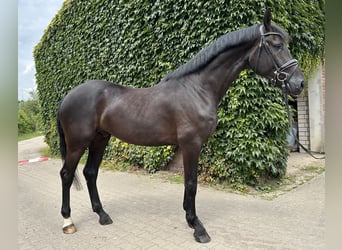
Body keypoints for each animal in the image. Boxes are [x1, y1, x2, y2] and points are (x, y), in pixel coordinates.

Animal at [57, 9, 304, 242]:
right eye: (277, 45)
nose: (299, 83)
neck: (197, 89)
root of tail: (67, 96)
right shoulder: (190, 144)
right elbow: (191, 183)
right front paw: (197, 227)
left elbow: (189, 184)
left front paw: (188, 218)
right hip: (78, 143)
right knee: (67, 174)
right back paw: (68, 221)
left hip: (100, 138)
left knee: (90, 173)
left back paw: (102, 215)